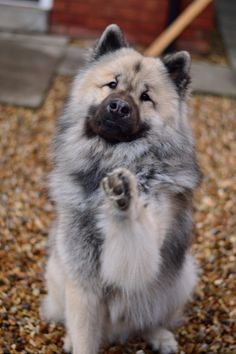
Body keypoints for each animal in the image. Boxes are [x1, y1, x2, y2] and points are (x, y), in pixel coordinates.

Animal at [41, 24, 201, 354]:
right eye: (111, 84)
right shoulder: (82, 280)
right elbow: (85, 336)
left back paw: (159, 335)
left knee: (151, 317)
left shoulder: (143, 253)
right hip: (57, 270)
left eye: (145, 97)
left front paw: (125, 197)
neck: (114, 155)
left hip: (181, 276)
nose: (118, 106)